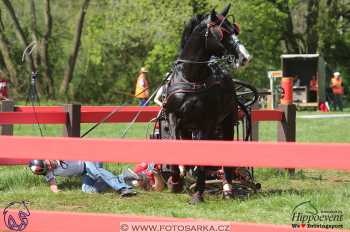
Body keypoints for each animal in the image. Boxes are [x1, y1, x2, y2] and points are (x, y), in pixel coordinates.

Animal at [164, 4, 252, 203]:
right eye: (223, 32)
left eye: (235, 29)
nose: (245, 57)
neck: (192, 78)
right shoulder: (174, 117)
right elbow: (174, 144)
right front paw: (176, 180)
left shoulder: (207, 123)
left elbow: (204, 158)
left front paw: (198, 193)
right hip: (188, 128)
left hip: (226, 124)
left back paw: (227, 188)